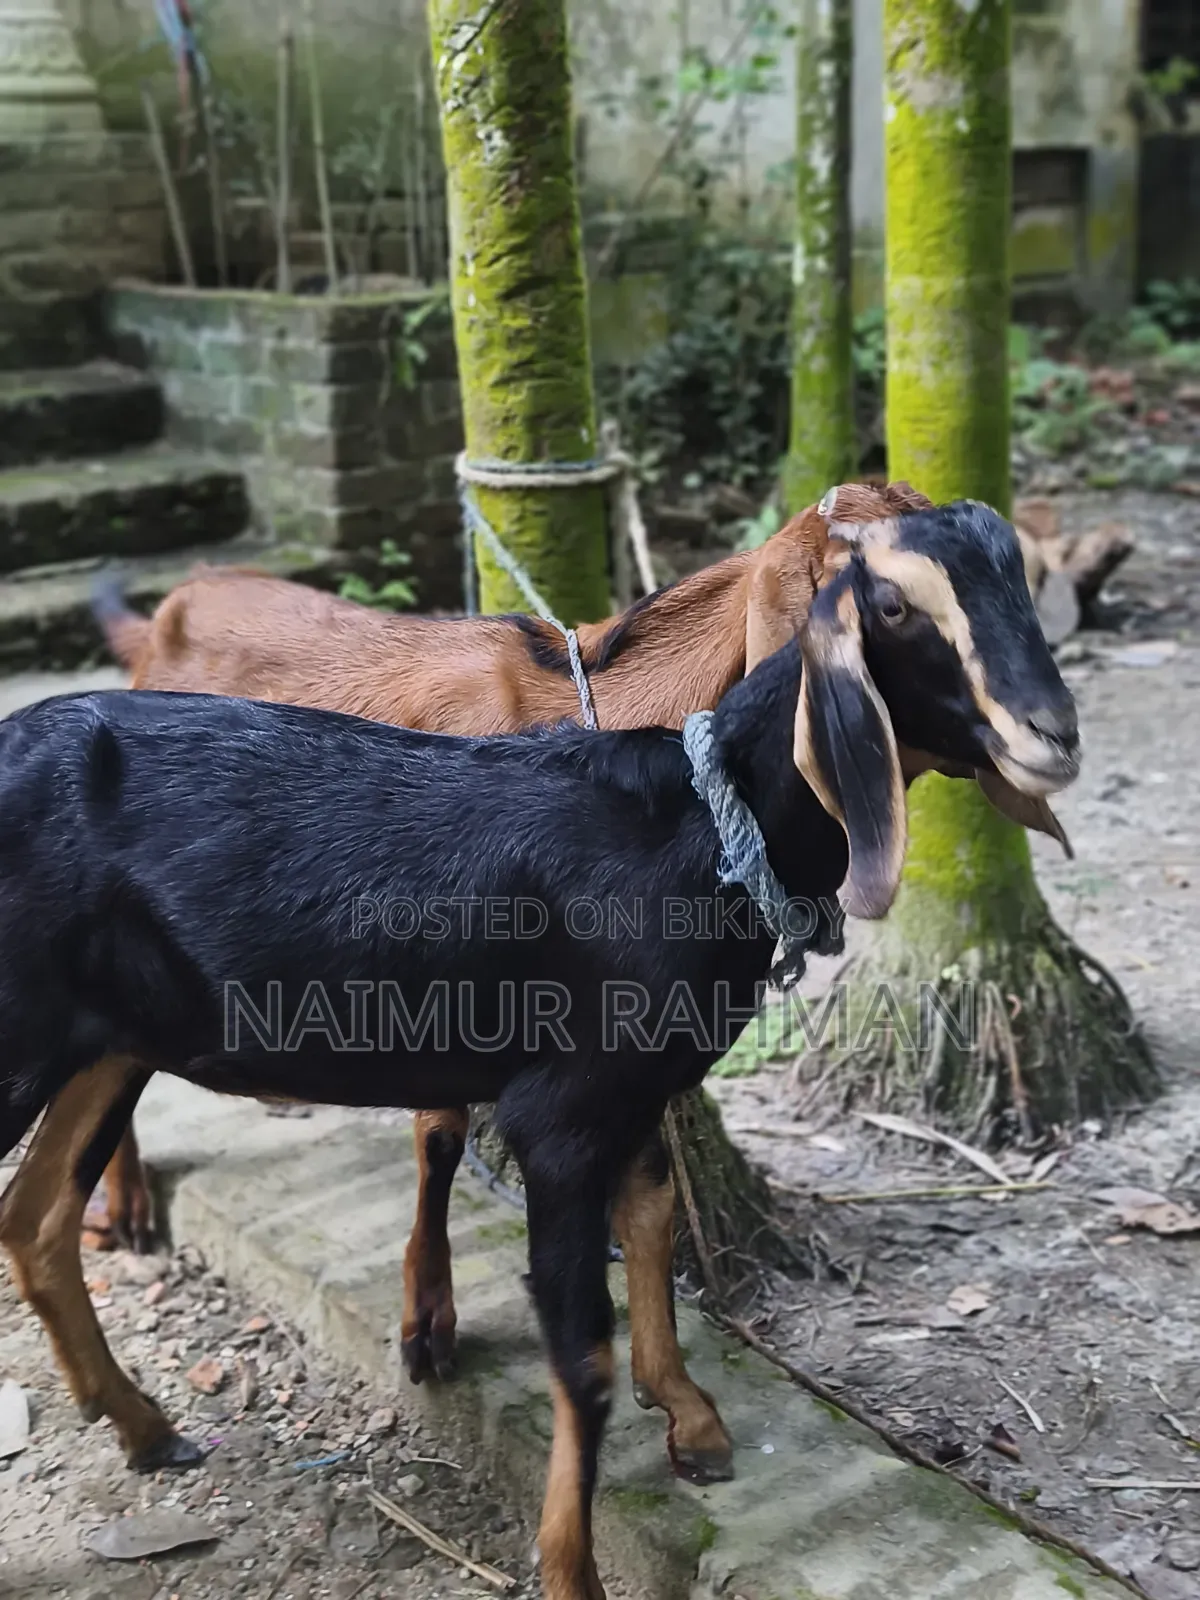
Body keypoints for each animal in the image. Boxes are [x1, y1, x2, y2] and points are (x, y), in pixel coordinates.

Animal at [0, 498, 1078, 1600]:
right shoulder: (559, 1115)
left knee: (33, 1219)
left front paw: (687, 1415)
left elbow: (651, 1214)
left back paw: (145, 1426)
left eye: (1020, 575)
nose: (1053, 732)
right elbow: (580, 1355)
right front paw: (571, 1566)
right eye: (892, 604)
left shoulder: (635, 1086)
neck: (697, 827)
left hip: (102, 1041)